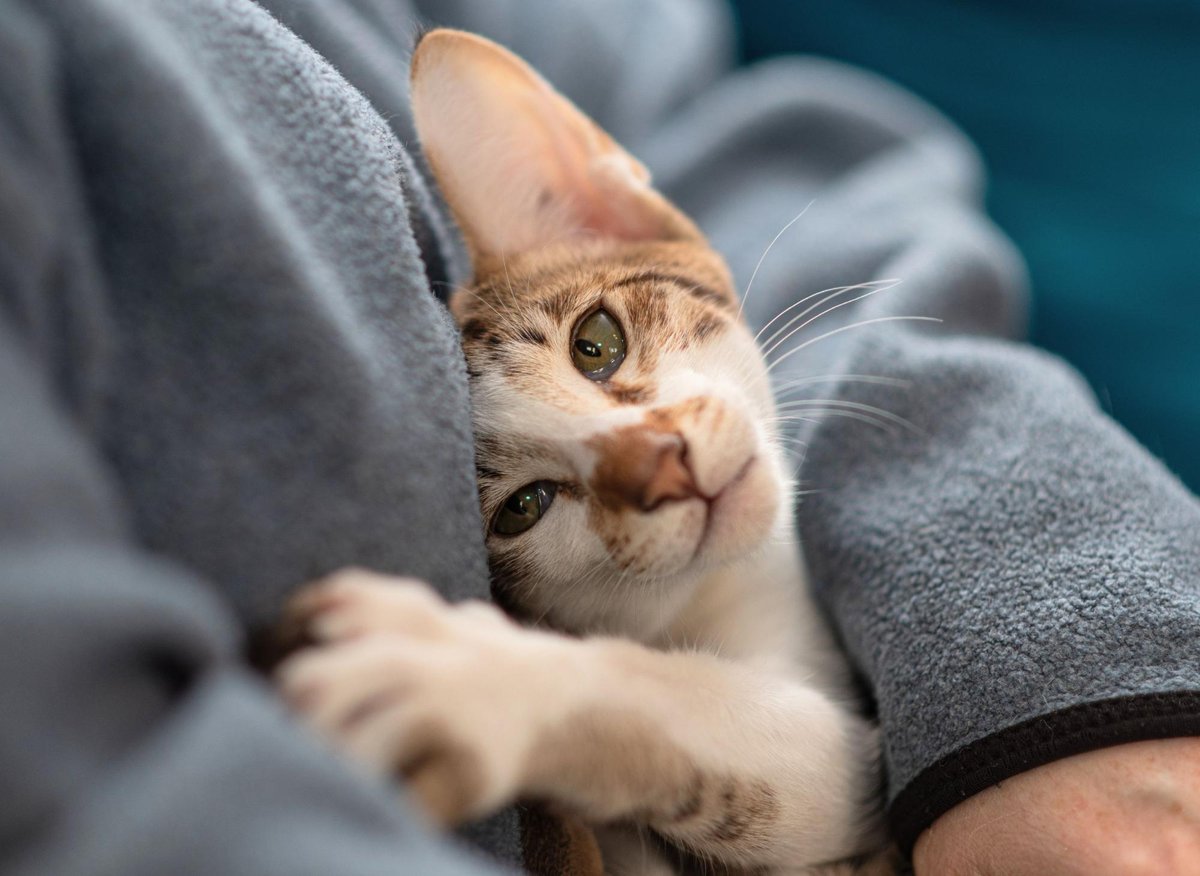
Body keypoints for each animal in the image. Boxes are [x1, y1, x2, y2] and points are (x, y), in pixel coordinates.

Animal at [278, 27, 892, 873]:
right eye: (523, 508)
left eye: (595, 343)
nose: (665, 463)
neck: (713, 601)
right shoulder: (847, 772)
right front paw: (478, 680)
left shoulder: (847, 754)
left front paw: (475, 676)